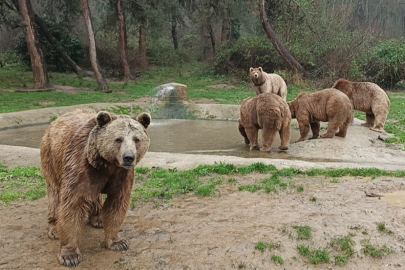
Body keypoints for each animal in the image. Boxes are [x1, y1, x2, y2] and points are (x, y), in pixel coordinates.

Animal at [40, 108, 151, 266]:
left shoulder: (122, 176)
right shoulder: (80, 167)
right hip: (51, 158)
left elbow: (117, 204)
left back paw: (98, 219)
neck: (107, 165)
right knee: (55, 195)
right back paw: (54, 229)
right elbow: (72, 205)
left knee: (95, 196)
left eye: (136, 139)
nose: (129, 157)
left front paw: (118, 242)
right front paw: (70, 256)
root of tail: (56, 120)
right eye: (118, 139)